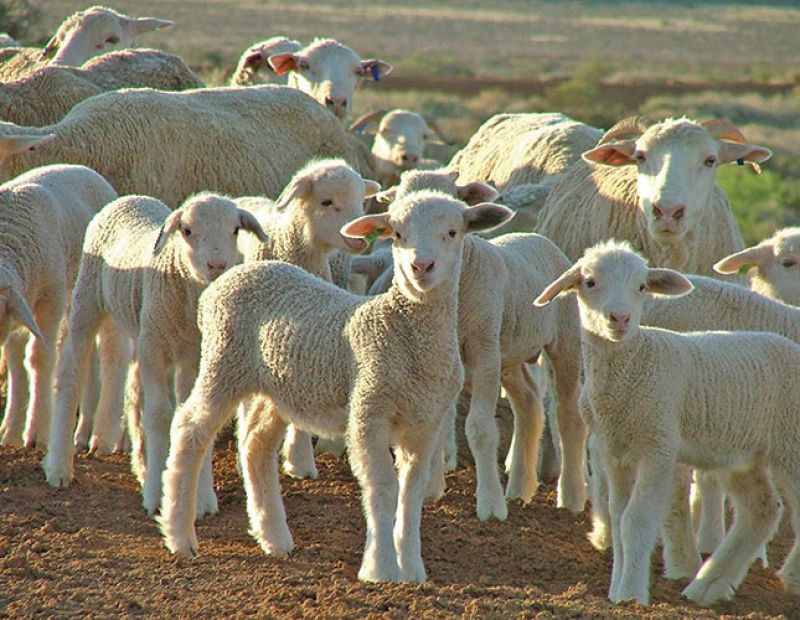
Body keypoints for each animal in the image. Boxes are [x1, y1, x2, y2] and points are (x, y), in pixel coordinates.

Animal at [0, 164, 118, 449]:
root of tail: (86, 169)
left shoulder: (50, 298)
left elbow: (40, 357)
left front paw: (37, 432)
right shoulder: (18, 305)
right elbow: (15, 362)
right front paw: (10, 430)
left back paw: (86, 431)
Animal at [42, 194, 267, 521]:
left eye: (236, 229)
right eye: (187, 230)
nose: (217, 265)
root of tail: (130, 198)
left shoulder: (193, 357)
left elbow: (188, 414)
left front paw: (200, 498)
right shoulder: (155, 350)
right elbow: (160, 416)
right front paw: (155, 497)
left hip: (141, 329)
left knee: (135, 394)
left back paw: (143, 466)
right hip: (88, 299)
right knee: (71, 374)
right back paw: (59, 467)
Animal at [157, 191, 513, 583]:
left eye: (453, 232)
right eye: (397, 234)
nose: (421, 267)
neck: (404, 332)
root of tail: (226, 279)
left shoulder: (425, 423)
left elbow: (411, 491)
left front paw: (412, 569)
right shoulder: (368, 410)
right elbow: (383, 487)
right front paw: (381, 568)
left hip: (277, 385)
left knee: (256, 445)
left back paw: (275, 538)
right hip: (223, 361)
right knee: (190, 429)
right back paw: (180, 535)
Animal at [534, 240, 800, 607]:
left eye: (641, 287)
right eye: (589, 282)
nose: (620, 318)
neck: (636, 362)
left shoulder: (657, 446)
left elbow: (636, 520)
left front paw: (631, 595)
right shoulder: (615, 451)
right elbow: (618, 517)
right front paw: (616, 593)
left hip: (791, 443)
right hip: (742, 455)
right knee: (761, 511)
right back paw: (706, 587)